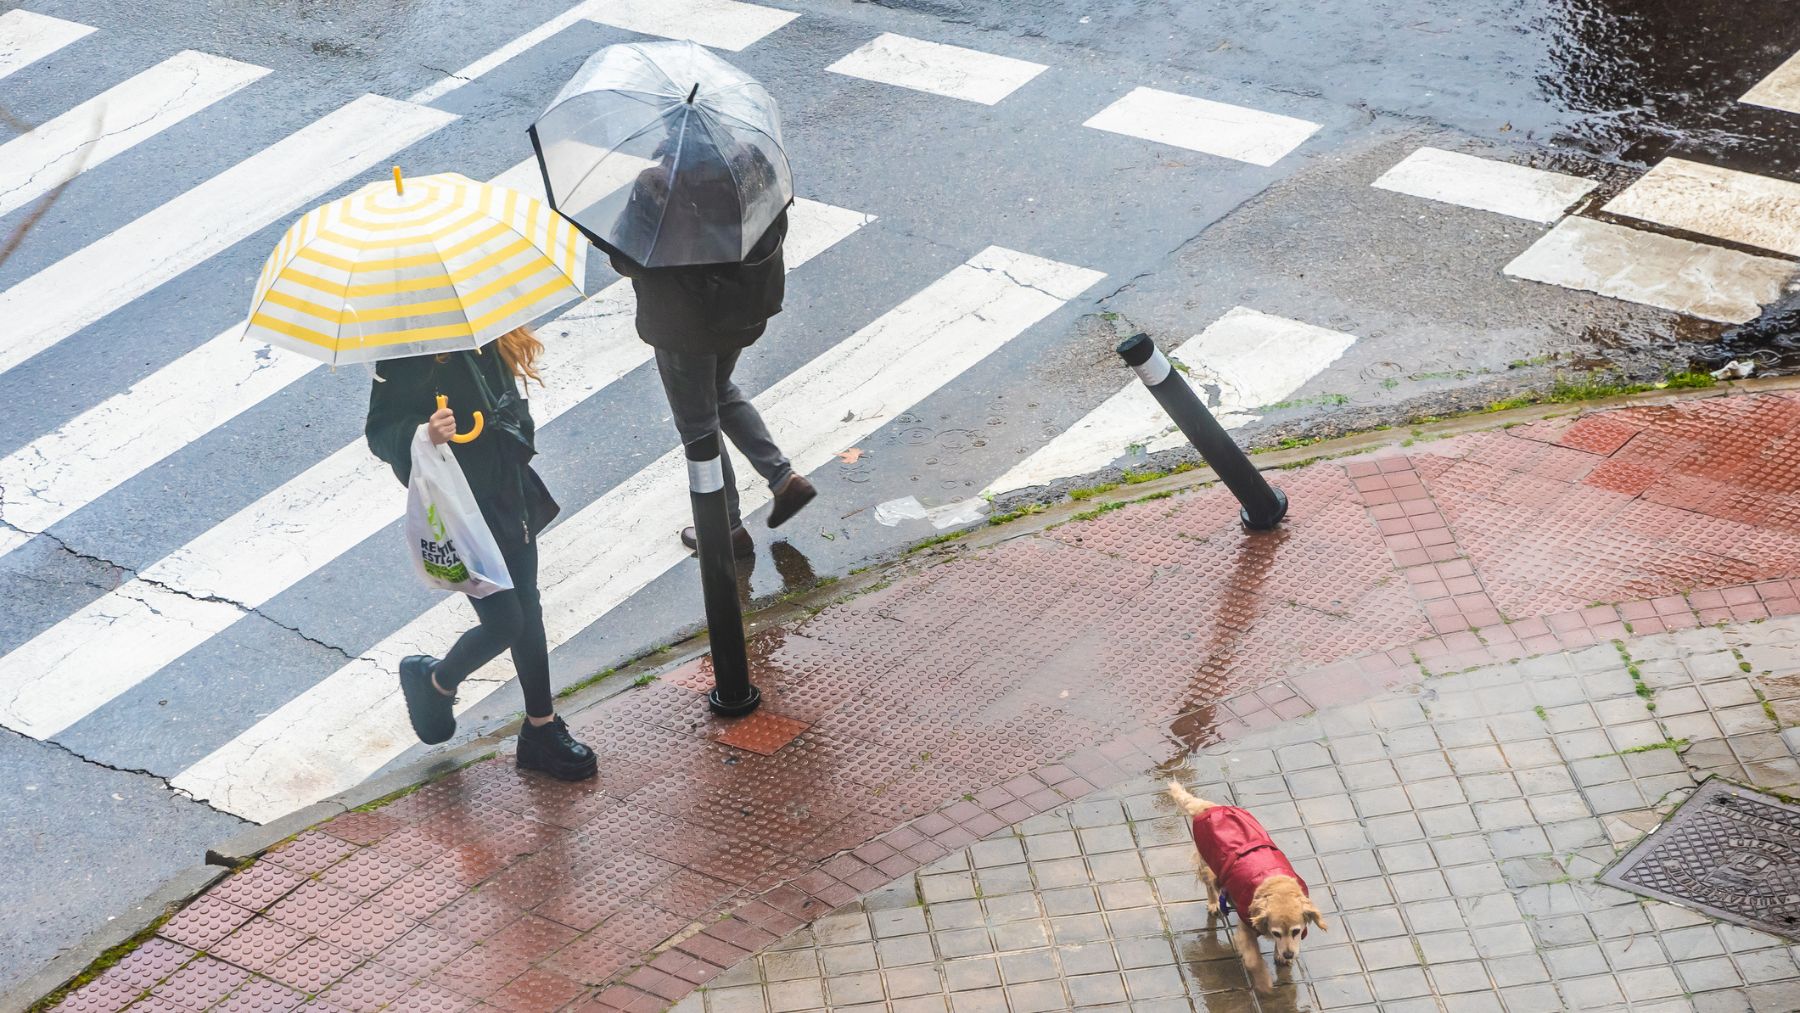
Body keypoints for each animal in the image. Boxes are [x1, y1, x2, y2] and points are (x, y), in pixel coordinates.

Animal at [1166, 784, 1324, 986]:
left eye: (1296, 931)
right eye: (1276, 933)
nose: (1289, 954)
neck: (1274, 884)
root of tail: (1209, 808)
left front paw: (1280, 956)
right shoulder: (1246, 928)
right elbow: (1253, 958)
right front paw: (1264, 982)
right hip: (1208, 864)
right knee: (1210, 885)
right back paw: (1214, 903)